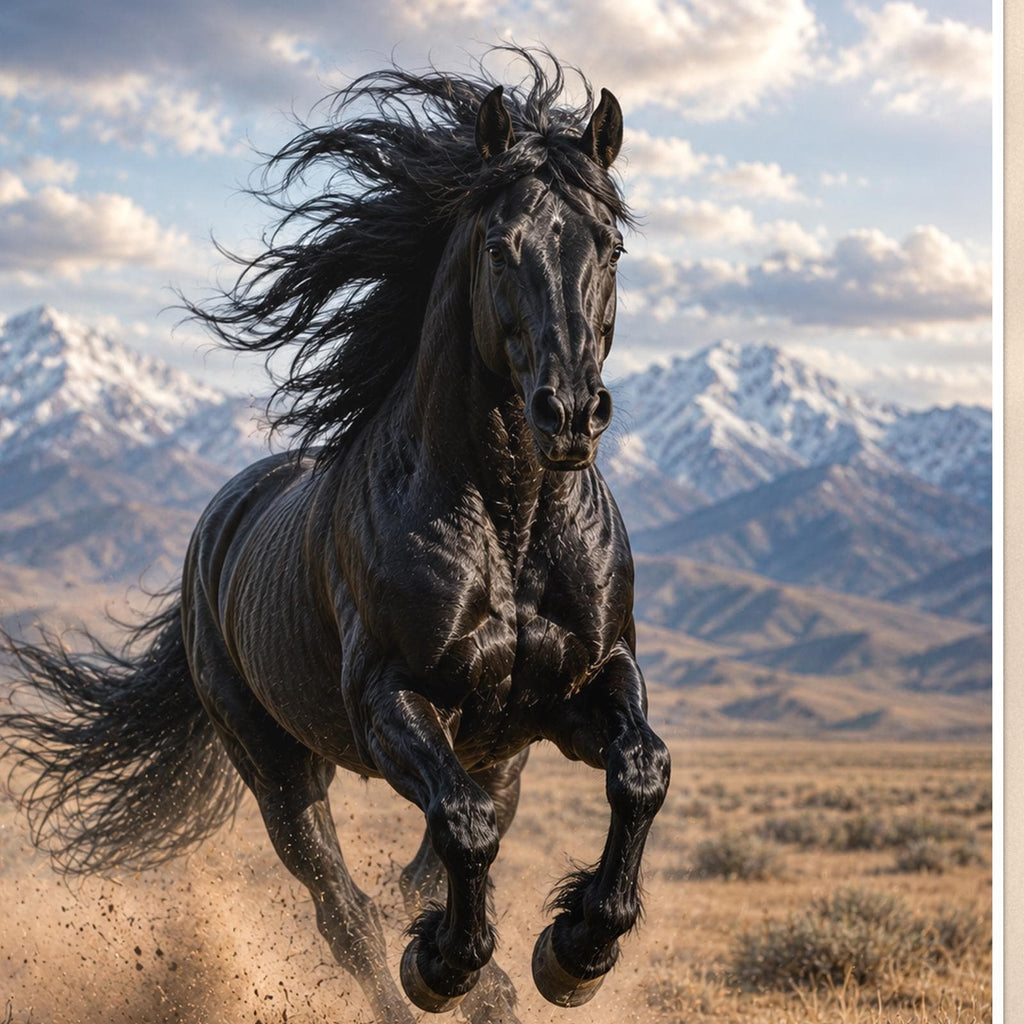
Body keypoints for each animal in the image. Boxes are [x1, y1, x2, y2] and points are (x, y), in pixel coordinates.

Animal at [0, 50, 671, 1024]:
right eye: (500, 247)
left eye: (610, 248)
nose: (570, 415)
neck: (508, 522)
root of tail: (216, 530)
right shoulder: (390, 701)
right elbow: (460, 831)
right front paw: (444, 965)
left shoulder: (586, 682)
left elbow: (640, 770)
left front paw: (576, 951)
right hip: (278, 769)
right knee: (346, 910)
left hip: (501, 754)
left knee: (422, 865)